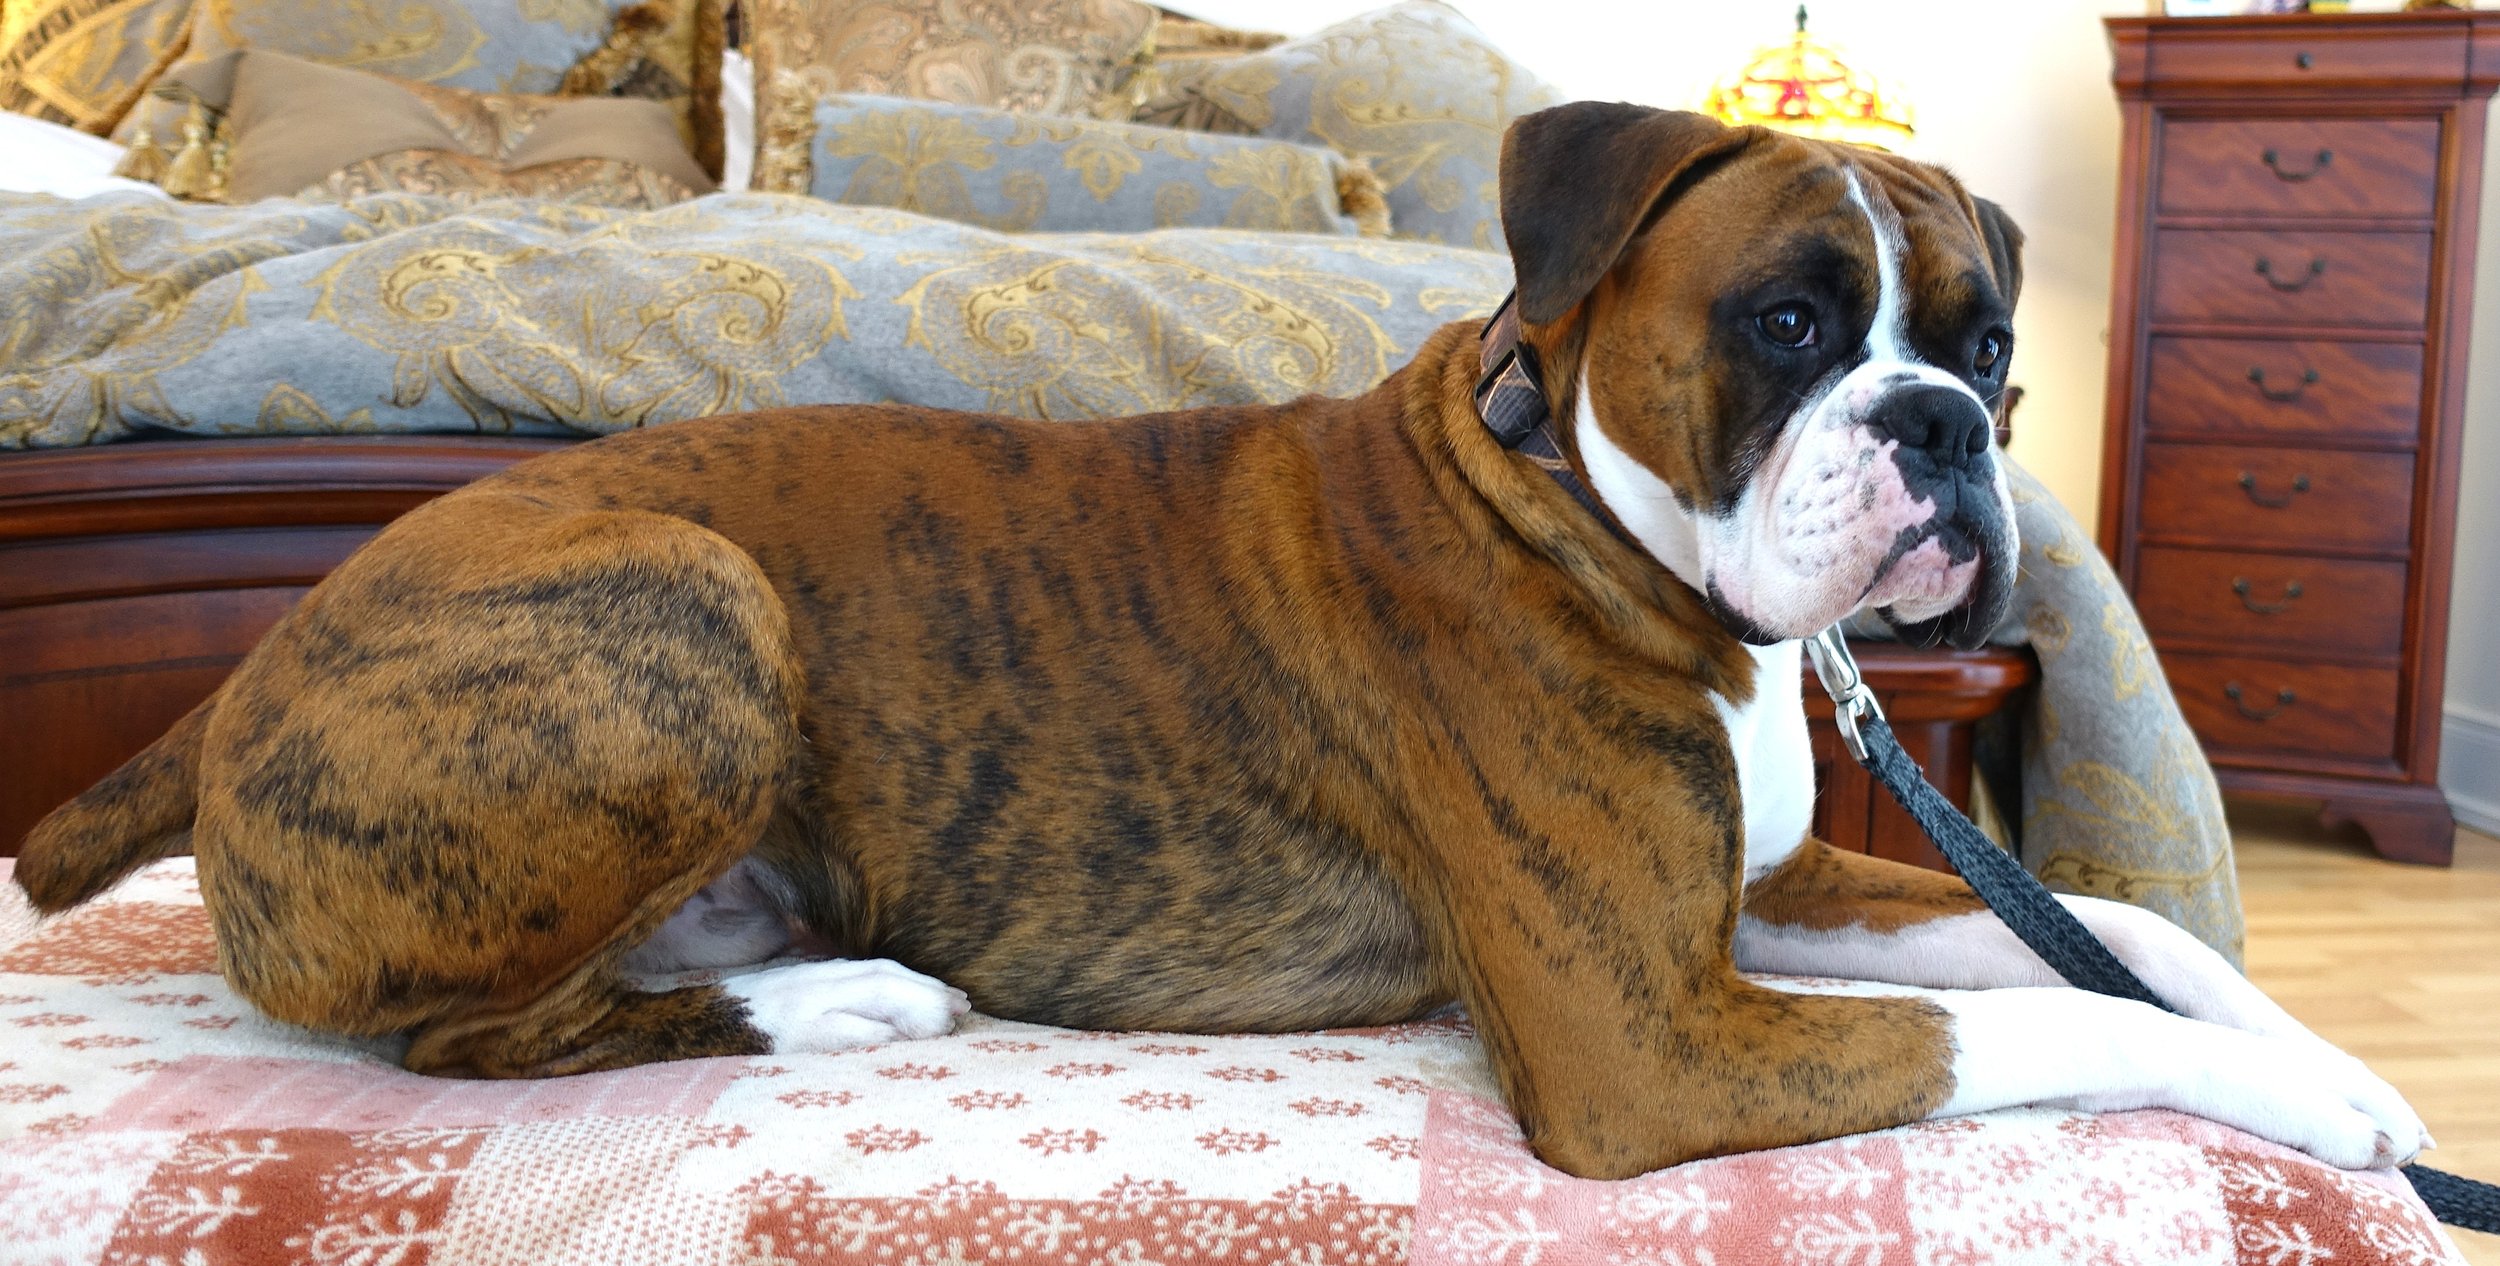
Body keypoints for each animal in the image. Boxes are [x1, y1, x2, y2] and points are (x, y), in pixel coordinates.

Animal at [16, 103, 2428, 1181]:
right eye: (1786, 325)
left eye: (1993, 346)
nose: (1942, 429)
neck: (1588, 523)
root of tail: (231, 698)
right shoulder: (1646, 1037)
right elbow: (2036, 1021)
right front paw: (2308, 1102)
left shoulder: (1761, 896)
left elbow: (2115, 934)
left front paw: (2346, 1057)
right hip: (692, 606)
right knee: (464, 1038)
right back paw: (843, 1001)